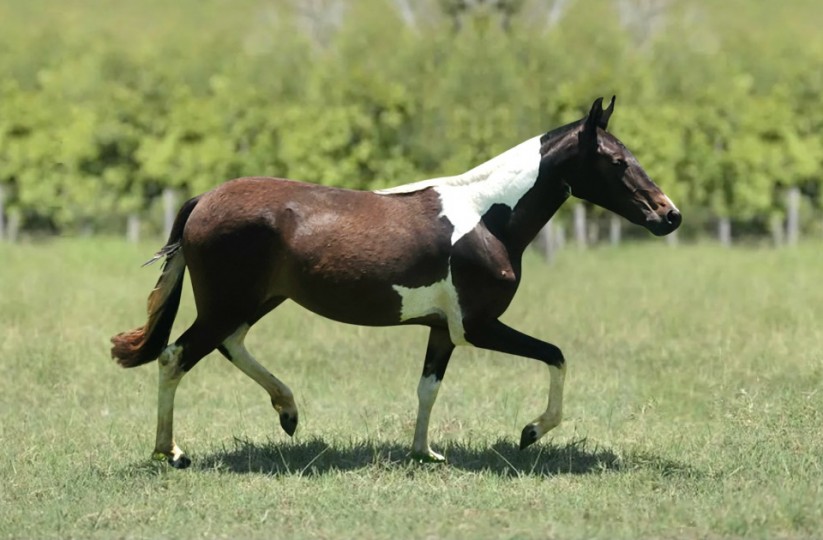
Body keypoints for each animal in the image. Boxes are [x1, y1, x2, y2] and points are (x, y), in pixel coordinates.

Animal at [111, 96, 681, 468]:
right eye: (616, 160)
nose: (668, 214)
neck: (485, 218)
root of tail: (203, 199)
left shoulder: (443, 329)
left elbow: (428, 387)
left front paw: (425, 452)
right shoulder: (478, 327)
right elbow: (557, 355)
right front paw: (531, 431)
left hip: (257, 301)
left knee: (229, 346)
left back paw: (288, 412)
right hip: (227, 303)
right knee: (175, 356)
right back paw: (171, 452)